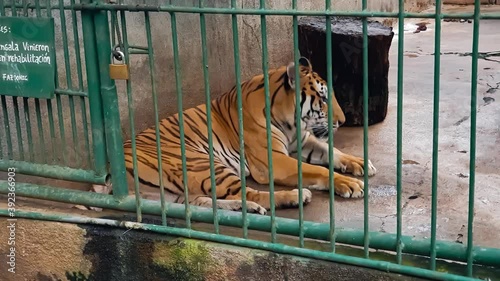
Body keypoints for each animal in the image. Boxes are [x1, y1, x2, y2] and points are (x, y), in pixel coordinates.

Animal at [87, 57, 376, 214]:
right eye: (323, 99)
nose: (342, 121)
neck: (290, 122)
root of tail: (110, 170)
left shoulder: (303, 141)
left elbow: (333, 152)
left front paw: (360, 163)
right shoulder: (275, 161)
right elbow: (318, 170)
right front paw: (350, 184)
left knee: (205, 203)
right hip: (201, 164)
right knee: (252, 193)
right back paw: (294, 197)